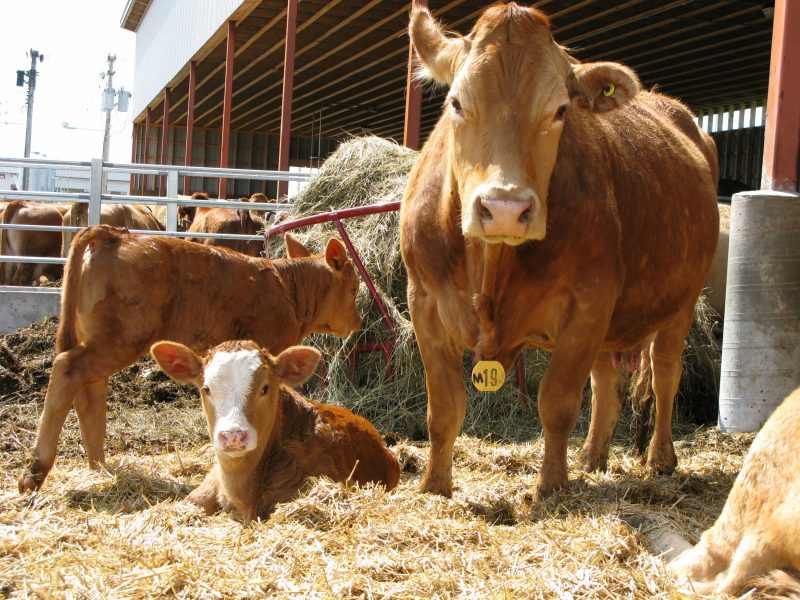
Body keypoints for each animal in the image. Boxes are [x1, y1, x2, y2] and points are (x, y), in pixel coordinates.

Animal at [18, 225, 362, 492]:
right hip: (121, 338)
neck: (287, 288)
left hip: (102, 339)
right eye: (354, 288)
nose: (357, 321)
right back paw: (36, 470)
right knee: (68, 370)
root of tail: (116, 235)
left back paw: (99, 466)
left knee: (89, 390)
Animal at [400, 4, 720, 500]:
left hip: (680, 302)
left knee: (666, 374)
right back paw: (592, 456)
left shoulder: (587, 303)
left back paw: (660, 458)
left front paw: (551, 487)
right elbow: (444, 408)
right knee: (607, 381)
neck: (490, 268)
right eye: (456, 102)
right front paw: (435, 486)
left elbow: (557, 403)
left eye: (560, 110)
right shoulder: (424, 301)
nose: (505, 209)